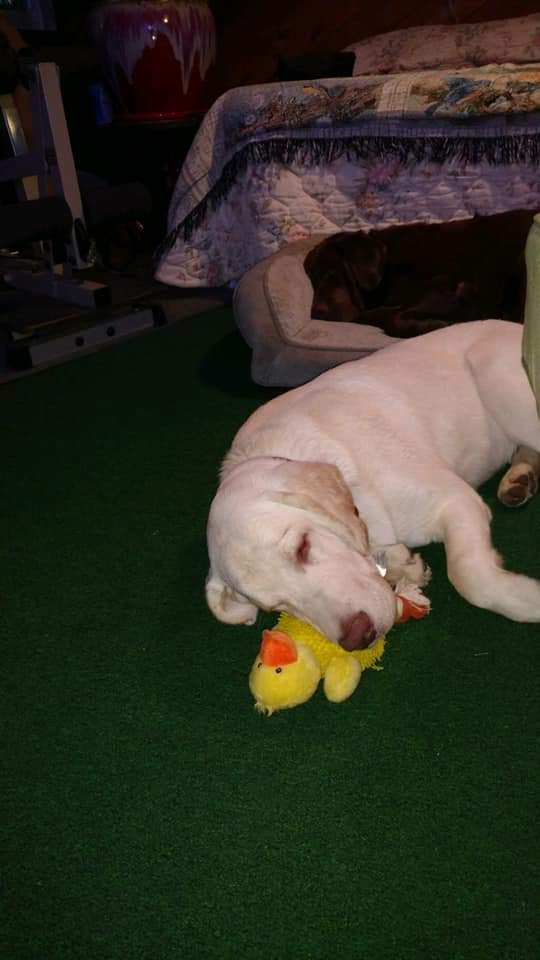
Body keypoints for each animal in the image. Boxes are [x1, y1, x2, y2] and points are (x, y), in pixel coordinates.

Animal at [206, 320, 540, 647]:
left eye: (302, 547)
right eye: (276, 606)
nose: (358, 637)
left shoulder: (456, 500)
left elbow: (468, 576)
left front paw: (528, 599)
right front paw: (403, 565)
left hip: (494, 377)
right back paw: (519, 479)